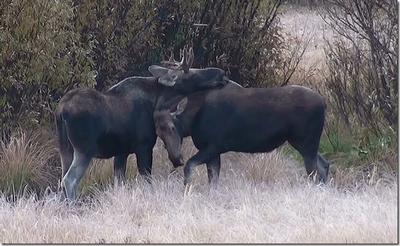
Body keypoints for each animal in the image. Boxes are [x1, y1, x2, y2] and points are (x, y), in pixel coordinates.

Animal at [55, 48, 228, 200]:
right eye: (190, 72)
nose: (221, 73)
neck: (158, 99)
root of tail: (61, 111)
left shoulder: (121, 151)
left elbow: (119, 182)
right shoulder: (144, 146)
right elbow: (147, 181)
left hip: (66, 150)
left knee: (62, 179)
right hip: (84, 150)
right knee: (69, 180)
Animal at [155, 81, 330, 187]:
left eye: (172, 127)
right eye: (159, 135)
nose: (176, 159)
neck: (193, 119)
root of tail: (324, 103)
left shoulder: (214, 146)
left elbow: (190, 166)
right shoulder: (214, 151)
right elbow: (213, 180)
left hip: (306, 141)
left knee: (315, 170)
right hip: (307, 143)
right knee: (324, 165)